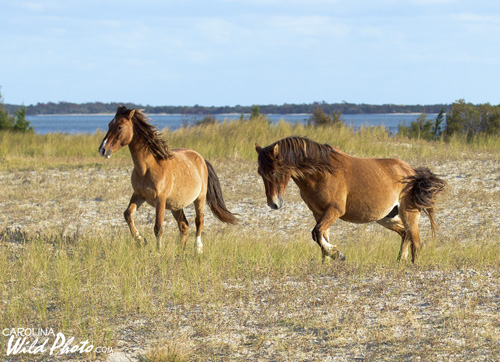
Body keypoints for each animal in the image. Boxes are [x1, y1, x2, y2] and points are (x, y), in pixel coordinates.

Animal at [99, 104, 238, 252]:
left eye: (119, 127)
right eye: (109, 124)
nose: (102, 150)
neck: (147, 168)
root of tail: (201, 159)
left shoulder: (160, 199)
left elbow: (158, 227)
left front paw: (158, 252)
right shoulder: (138, 195)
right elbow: (127, 214)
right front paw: (141, 240)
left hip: (199, 198)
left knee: (199, 221)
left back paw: (198, 248)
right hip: (176, 205)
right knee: (184, 225)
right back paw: (180, 252)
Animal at [256, 136, 448, 264]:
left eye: (273, 171)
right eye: (260, 172)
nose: (274, 203)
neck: (322, 173)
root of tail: (411, 172)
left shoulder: (334, 210)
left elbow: (316, 233)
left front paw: (336, 254)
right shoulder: (319, 213)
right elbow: (321, 235)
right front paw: (326, 262)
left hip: (408, 214)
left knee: (415, 239)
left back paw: (413, 264)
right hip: (386, 217)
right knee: (405, 234)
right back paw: (400, 260)